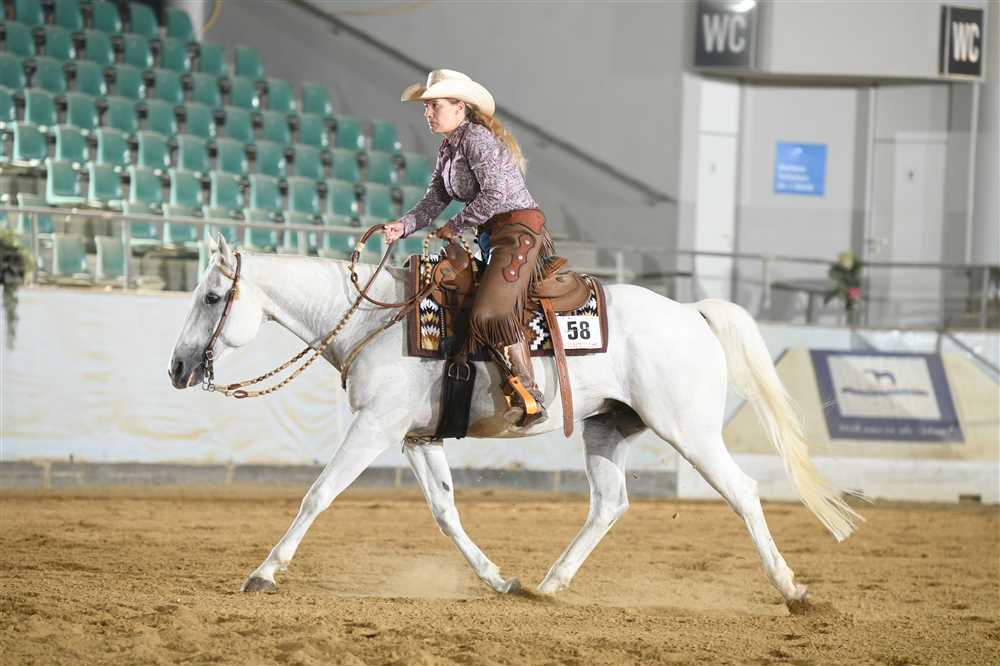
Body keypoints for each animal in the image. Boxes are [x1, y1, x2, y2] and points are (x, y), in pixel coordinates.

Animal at [167, 235, 862, 604]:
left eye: (211, 296)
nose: (175, 367)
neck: (377, 319)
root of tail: (692, 313)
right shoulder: (415, 437)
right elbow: (446, 512)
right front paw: (498, 579)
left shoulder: (375, 428)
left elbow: (318, 494)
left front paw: (263, 572)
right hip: (608, 427)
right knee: (608, 504)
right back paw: (549, 585)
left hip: (689, 431)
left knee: (743, 491)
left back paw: (791, 589)